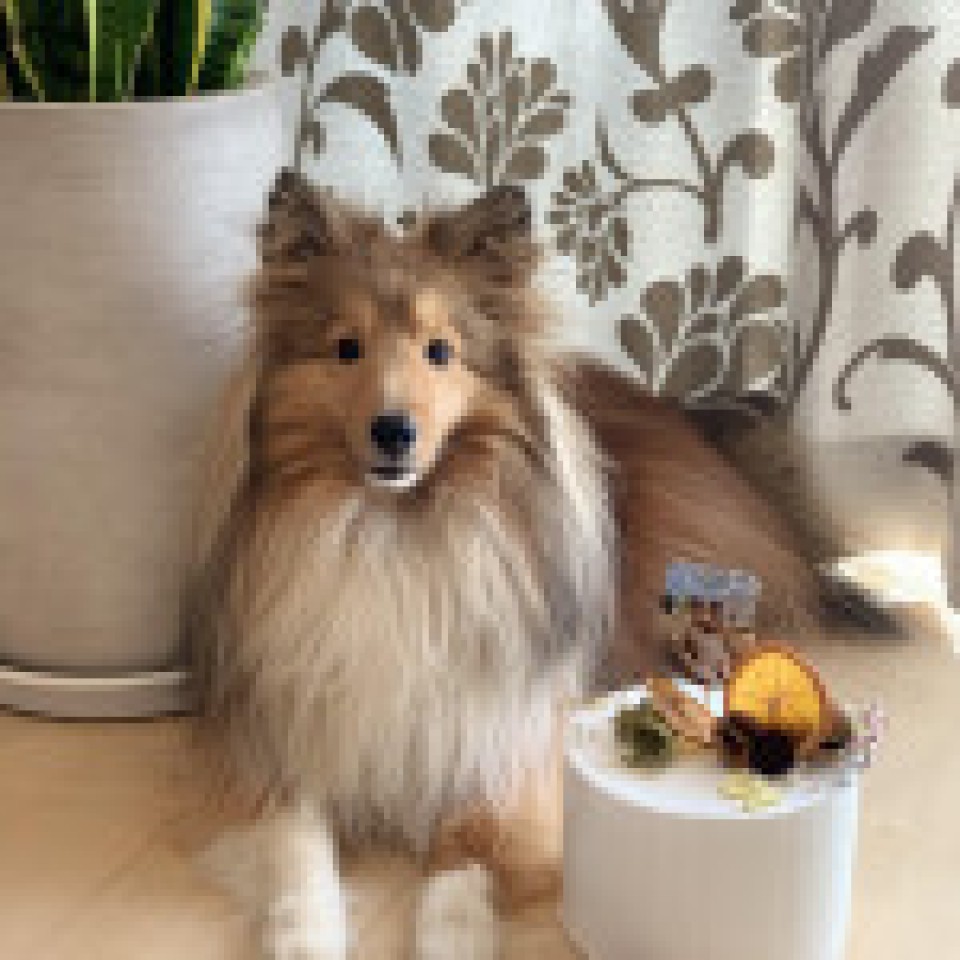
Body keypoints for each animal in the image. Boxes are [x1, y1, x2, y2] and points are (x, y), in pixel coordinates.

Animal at [185, 173, 815, 960]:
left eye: (440, 351)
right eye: (346, 348)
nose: (394, 432)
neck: (397, 532)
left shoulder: (499, 735)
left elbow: (467, 848)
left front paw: (452, 938)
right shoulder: (283, 728)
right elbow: (294, 843)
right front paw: (308, 936)